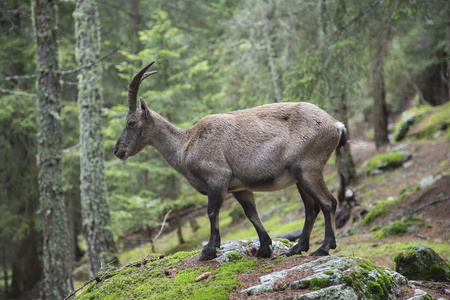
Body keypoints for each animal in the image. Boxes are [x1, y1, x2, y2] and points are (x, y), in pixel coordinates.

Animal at [114, 62, 346, 260]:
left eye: (131, 122)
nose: (118, 150)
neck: (186, 145)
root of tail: (337, 125)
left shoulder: (218, 177)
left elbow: (211, 212)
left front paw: (208, 250)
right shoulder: (240, 188)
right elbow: (251, 214)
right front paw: (263, 249)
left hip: (308, 168)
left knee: (328, 202)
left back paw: (324, 247)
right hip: (299, 176)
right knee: (311, 208)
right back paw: (297, 248)